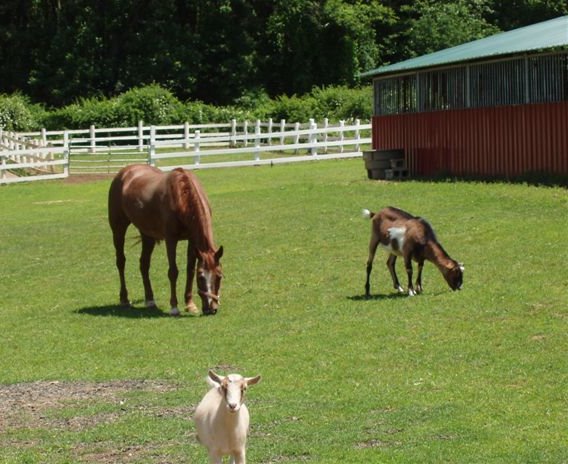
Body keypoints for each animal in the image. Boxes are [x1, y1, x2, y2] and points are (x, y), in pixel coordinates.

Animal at [107, 164, 223, 316]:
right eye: (201, 277)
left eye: (219, 276)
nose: (211, 309)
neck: (182, 196)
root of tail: (125, 171)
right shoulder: (171, 240)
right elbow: (173, 272)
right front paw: (174, 307)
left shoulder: (192, 240)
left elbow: (190, 270)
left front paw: (190, 304)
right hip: (118, 229)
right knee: (121, 261)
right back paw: (124, 299)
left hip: (147, 235)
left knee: (144, 264)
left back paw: (150, 300)